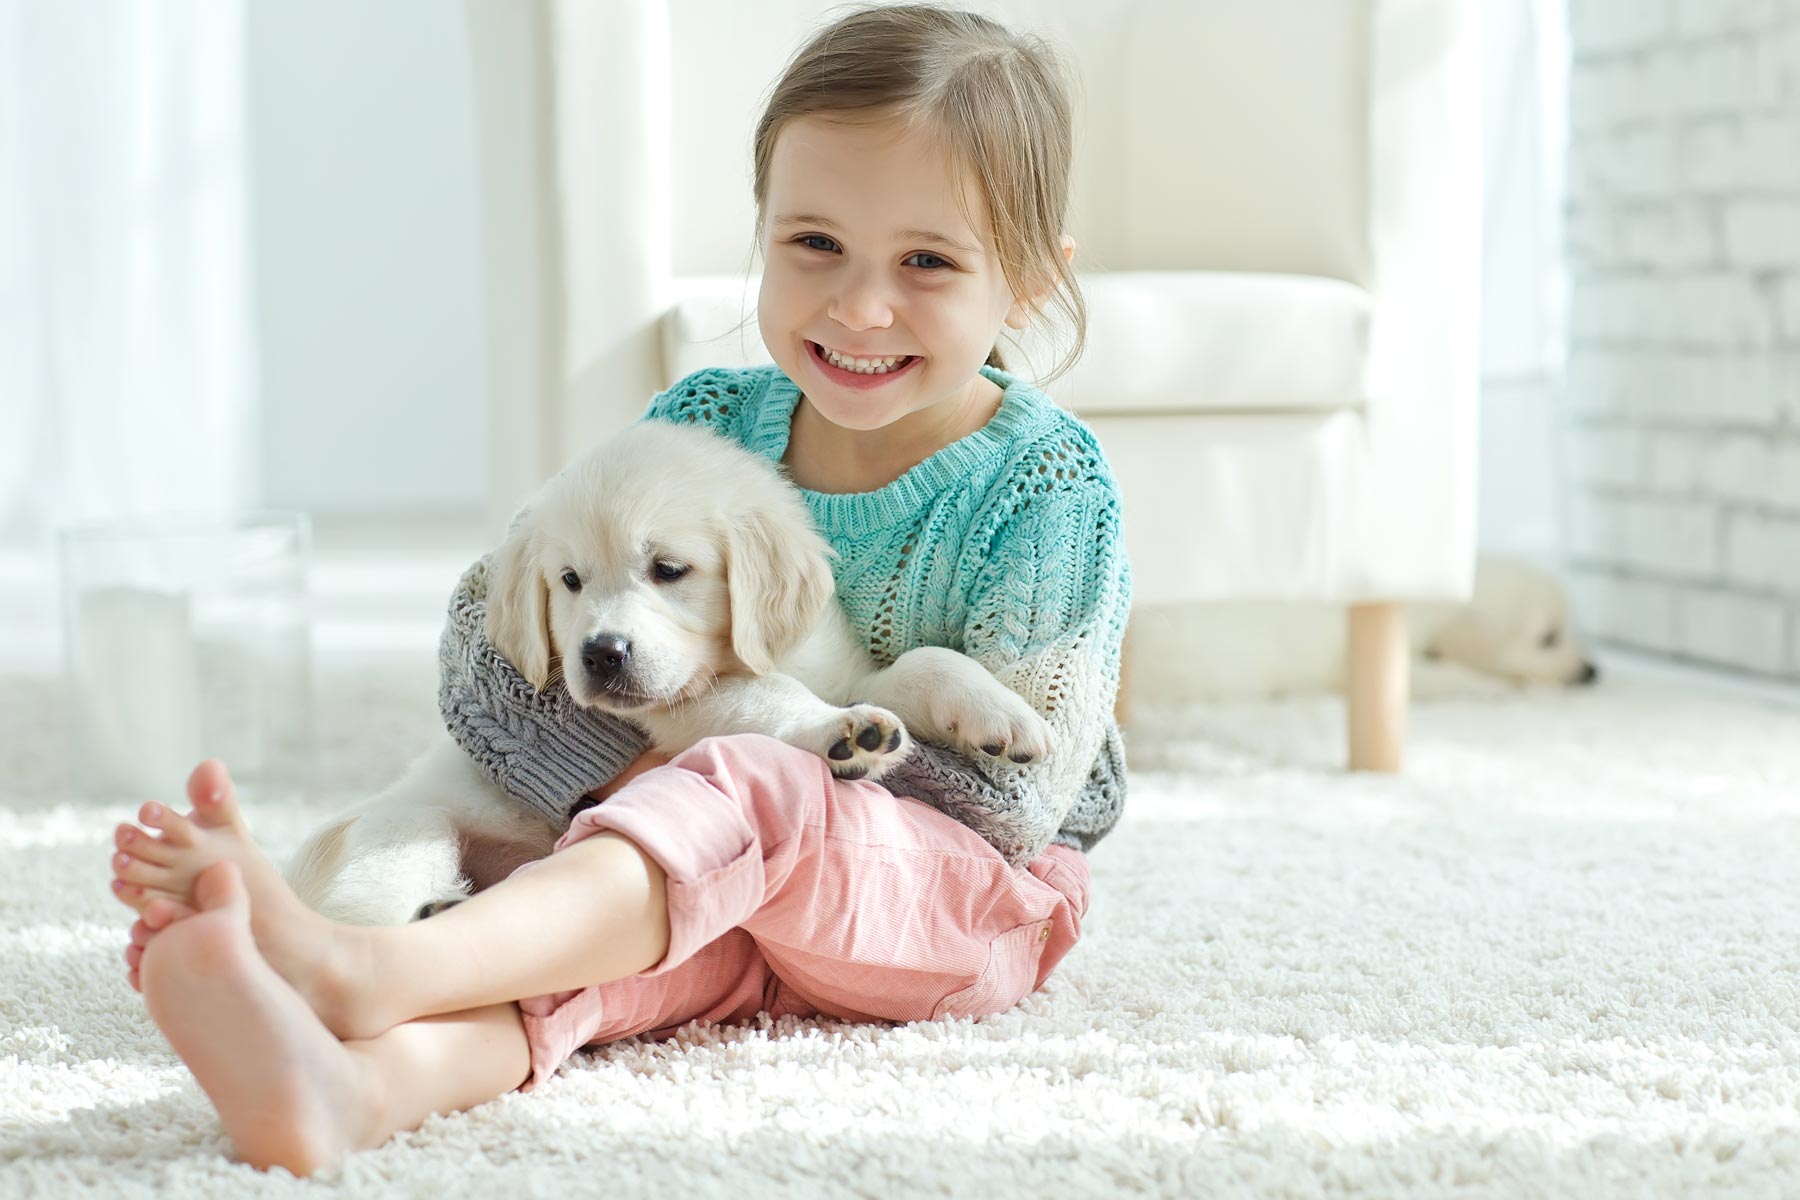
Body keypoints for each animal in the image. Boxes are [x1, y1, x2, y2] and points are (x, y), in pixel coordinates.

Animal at [289, 422, 1051, 928]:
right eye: (569, 581)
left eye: (669, 569)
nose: (600, 655)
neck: (736, 655)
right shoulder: (678, 709)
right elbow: (770, 698)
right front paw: (842, 732)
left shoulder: (839, 667)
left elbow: (922, 663)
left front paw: (1003, 715)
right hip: (399, 836)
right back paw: (434, 912)